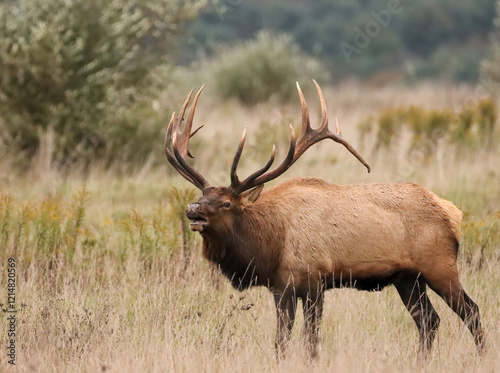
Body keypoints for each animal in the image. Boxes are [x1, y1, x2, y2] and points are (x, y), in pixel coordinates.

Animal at [163, 80, 484, 358]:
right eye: (203, 195)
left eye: (226, 203)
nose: (193, 209)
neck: (271, 244)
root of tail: (452, 213)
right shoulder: (281, 287)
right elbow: (281, 340)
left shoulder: (315, 280)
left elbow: (311, 341)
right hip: (407, 278)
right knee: (429, 321)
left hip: (439, 265)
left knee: (471, 311)